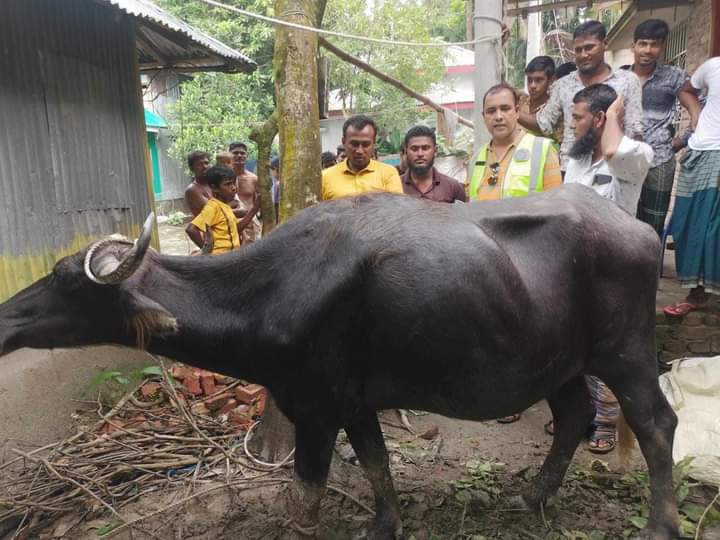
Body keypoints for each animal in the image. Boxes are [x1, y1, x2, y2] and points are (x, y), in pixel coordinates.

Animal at [0, 185, 676, 536]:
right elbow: (377, 464)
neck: (272, 288)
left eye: (65, 280)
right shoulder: (355, 405)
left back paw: (660, 524)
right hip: (560, 364)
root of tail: (638, 228)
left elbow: (306, 492)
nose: (5, 319)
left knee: (654, 425)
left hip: (627, 354)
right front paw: (385, 524)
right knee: (573, 416)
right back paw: (532, 500)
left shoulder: (317, 409)